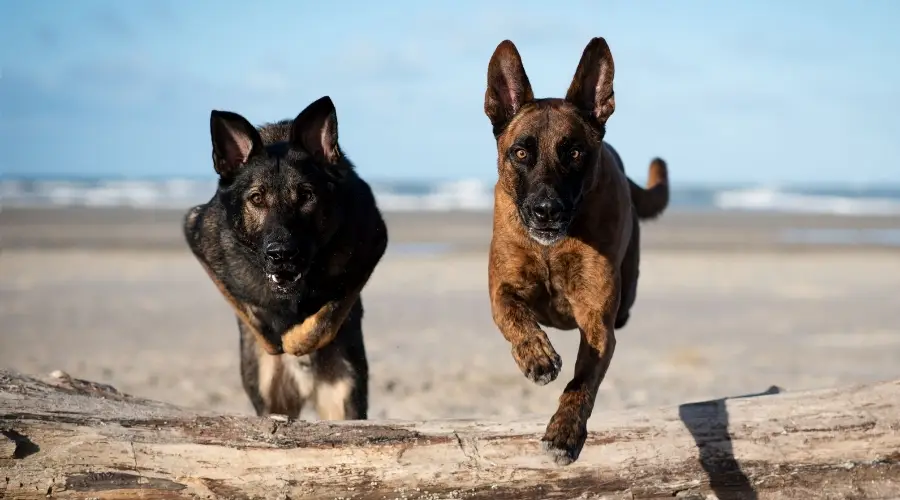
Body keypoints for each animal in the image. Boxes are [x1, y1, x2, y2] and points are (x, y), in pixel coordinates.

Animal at [486, 38, 668, 464]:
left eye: (574, 153)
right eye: (521, 153)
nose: (546, 210)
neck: (552, 249)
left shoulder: (597, 323)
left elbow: (581, 383)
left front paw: (564, 431)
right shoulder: (501, 288)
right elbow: (513, 316)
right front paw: (536, 354)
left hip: (627, 290)